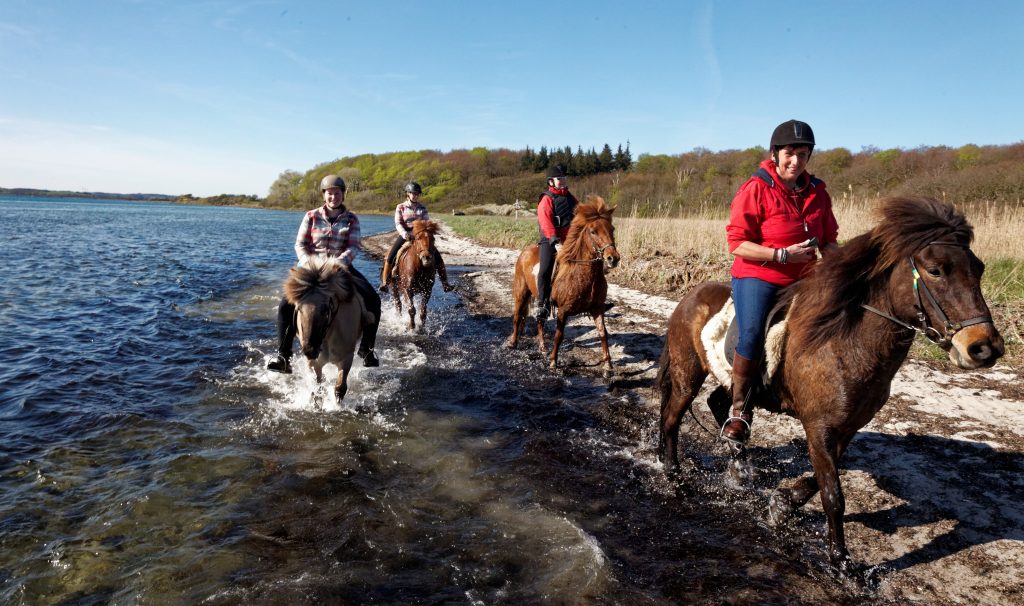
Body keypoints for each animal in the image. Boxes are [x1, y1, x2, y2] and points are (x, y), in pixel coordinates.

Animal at [284, 256, 372, 403]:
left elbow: (340, 388)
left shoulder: (346, 359)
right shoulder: (314, 363)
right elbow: (318, 390)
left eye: (325, 309)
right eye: (298, 308)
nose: (309, 350)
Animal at [505, 196, 618, 374]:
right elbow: (559, 335)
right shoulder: (563, 311)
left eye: (611, 228)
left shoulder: (597, 308)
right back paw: (513, 343)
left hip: (541, 300)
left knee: (540, 321)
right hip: (521, 293)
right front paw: (553, 361)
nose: (613, 258)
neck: (585, 275)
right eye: (593, 231)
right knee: (517, 317)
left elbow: (602, 333)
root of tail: (525, 251)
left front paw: (608, 365)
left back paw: (543, 347)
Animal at [651, 197, 1003, 573]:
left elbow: (816, 482)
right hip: (688, 375)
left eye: (979, 268)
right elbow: (833, 495)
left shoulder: (846, 427)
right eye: (935, 270)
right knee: (672, 419)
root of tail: (691, 296)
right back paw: (675, 478)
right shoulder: (818, 426)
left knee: (721, 405)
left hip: (731, 384)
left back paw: (740, 466)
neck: (844, 343)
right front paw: (842, 563)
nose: (983, 347)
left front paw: (782, 503)